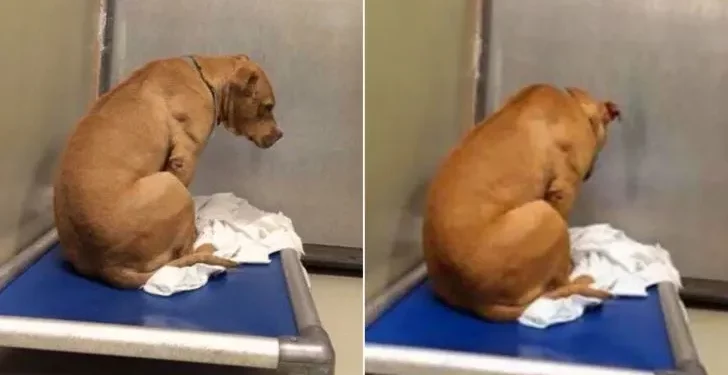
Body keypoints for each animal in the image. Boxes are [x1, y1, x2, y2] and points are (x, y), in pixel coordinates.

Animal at [53, 54, 282, 290]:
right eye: (268, 107)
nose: (279, 135)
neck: (205, 77)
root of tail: (106, 265)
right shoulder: (184, 159)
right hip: (173, 186)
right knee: (182, 253)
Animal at [424, 83, 624, 322]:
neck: (577, 107)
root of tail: (476, 301)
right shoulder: (563, 191)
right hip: (546, 214)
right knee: (559, 285)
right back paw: (579, 279)